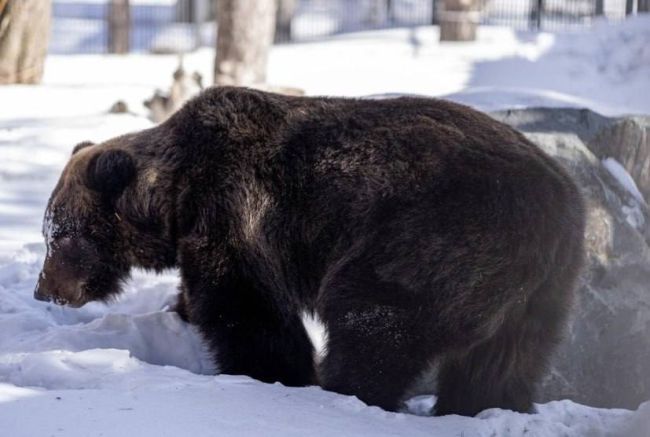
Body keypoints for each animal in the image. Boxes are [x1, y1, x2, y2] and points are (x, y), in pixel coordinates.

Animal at [33, 86, 584, 416]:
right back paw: (478, 407)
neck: (174, 198)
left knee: (375, 318)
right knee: (504, 360)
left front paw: (277, 375)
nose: (44, 290)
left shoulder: (236, 210)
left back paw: (346, 392)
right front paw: (179, 309)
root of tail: (559, 197)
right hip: (542, 288)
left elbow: (246, 308)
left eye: (60, 236)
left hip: (434, 235)